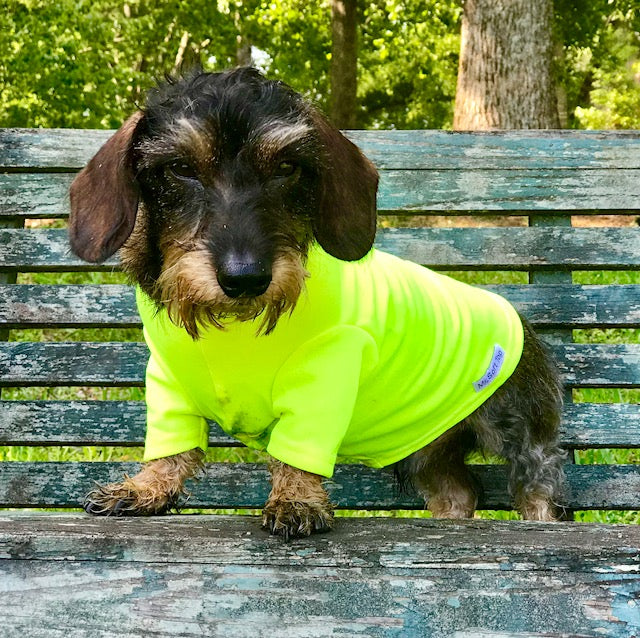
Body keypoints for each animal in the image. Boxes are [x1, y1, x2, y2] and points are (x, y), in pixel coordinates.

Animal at [70, 69, 568, 540]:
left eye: (287, 166)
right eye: (180, 167)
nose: (245, 278)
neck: (233, 330)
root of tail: (522, 323)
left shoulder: (324, 376)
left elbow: (299, 449)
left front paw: (296, 500)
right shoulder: (170, 383)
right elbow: (172, 444)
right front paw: (144, 488)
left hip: (516, 429)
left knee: (538, 488)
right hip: (425, 449)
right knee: (457, 492)